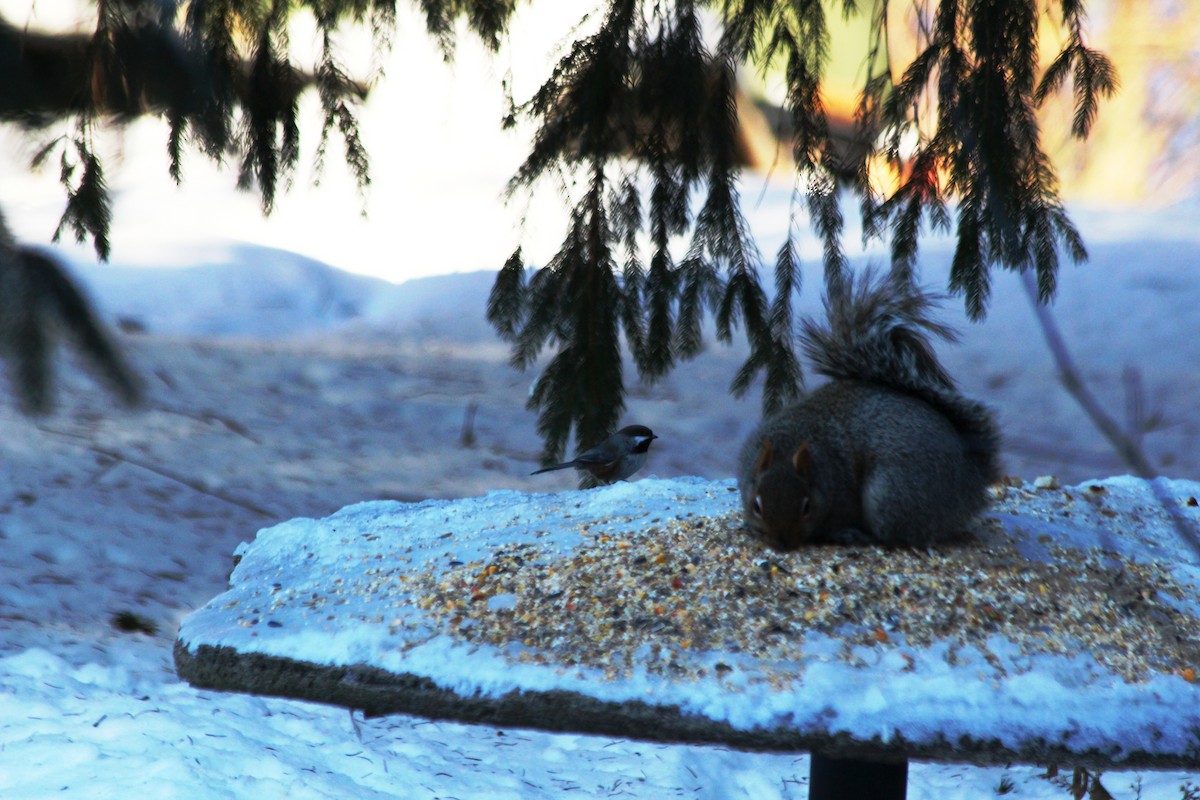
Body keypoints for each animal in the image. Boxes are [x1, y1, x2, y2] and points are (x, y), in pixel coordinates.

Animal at [729, 271, 1003, 551]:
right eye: (757, 505)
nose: (782, 543)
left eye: (807, 507)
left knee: (898, 537)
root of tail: (970, 483)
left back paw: (856, 536)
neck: (791, 442)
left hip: (891, 494)